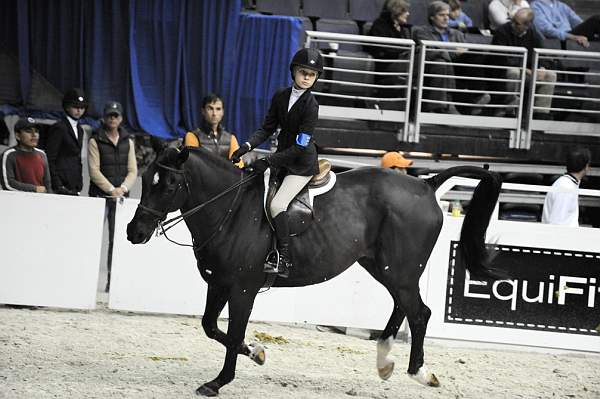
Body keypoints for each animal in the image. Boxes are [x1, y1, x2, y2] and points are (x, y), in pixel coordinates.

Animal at [127, 147, 506, 396]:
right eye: (145, 179)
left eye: (169, 185)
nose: (134, 232)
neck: (230, 210)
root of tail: (427, 184)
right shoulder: (218, 284)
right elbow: (210, 327)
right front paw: (257, 353)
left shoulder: (243, 289)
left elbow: (232, 334)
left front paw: (218, 382)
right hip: (385, 267)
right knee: (404, 307)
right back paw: (385, 361)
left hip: (399, 270)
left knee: (419, 313)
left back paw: (422, 374)